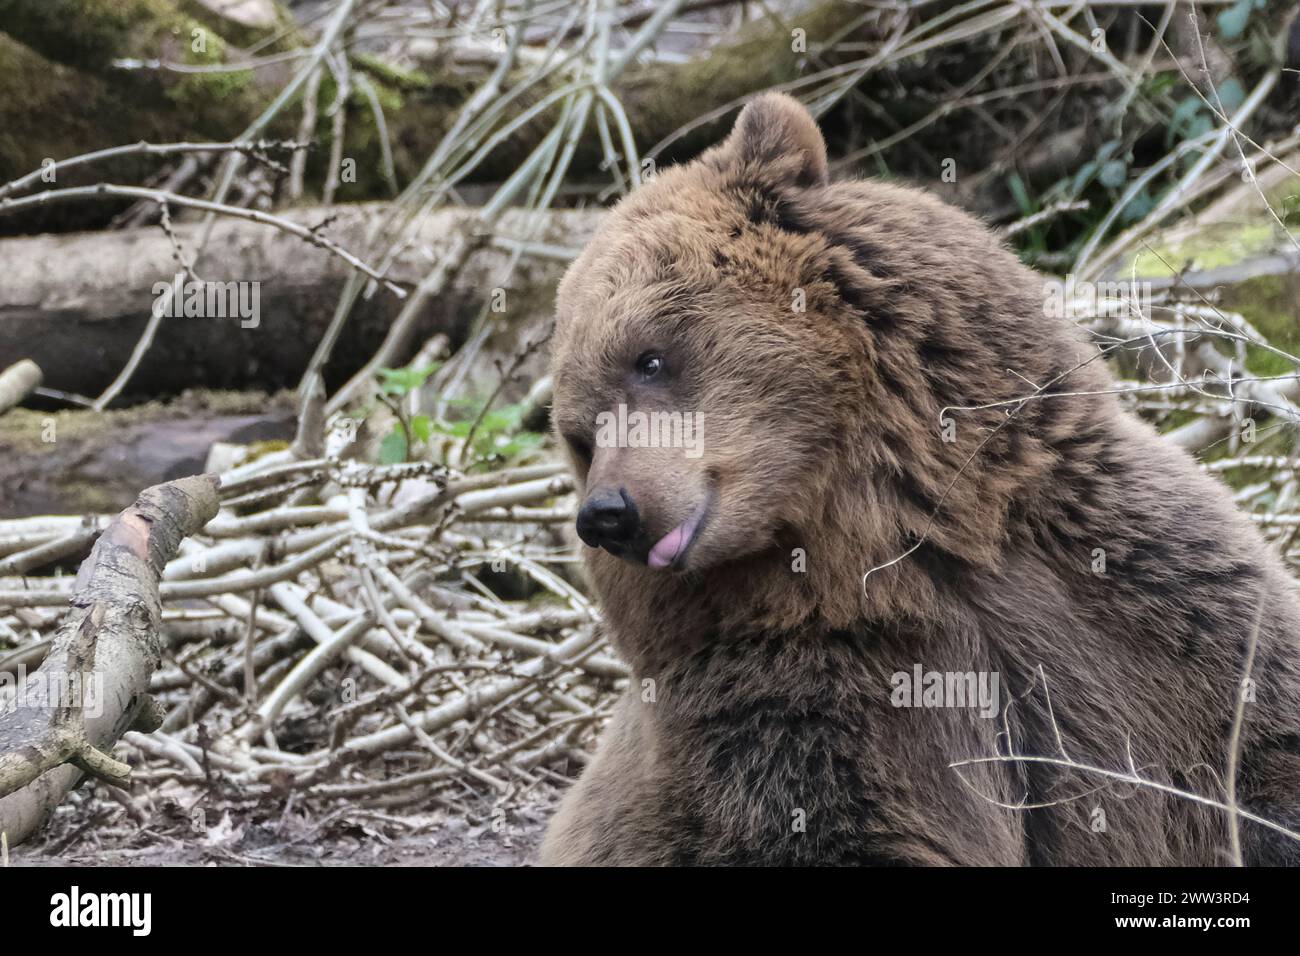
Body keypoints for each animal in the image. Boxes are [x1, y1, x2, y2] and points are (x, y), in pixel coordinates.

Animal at [538, 93, 1300, 863]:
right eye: (580, 434)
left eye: (649, 358)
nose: (609, 513)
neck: (904, 531)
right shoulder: (814, 684)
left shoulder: (1138, 587)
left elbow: (1258, 738)